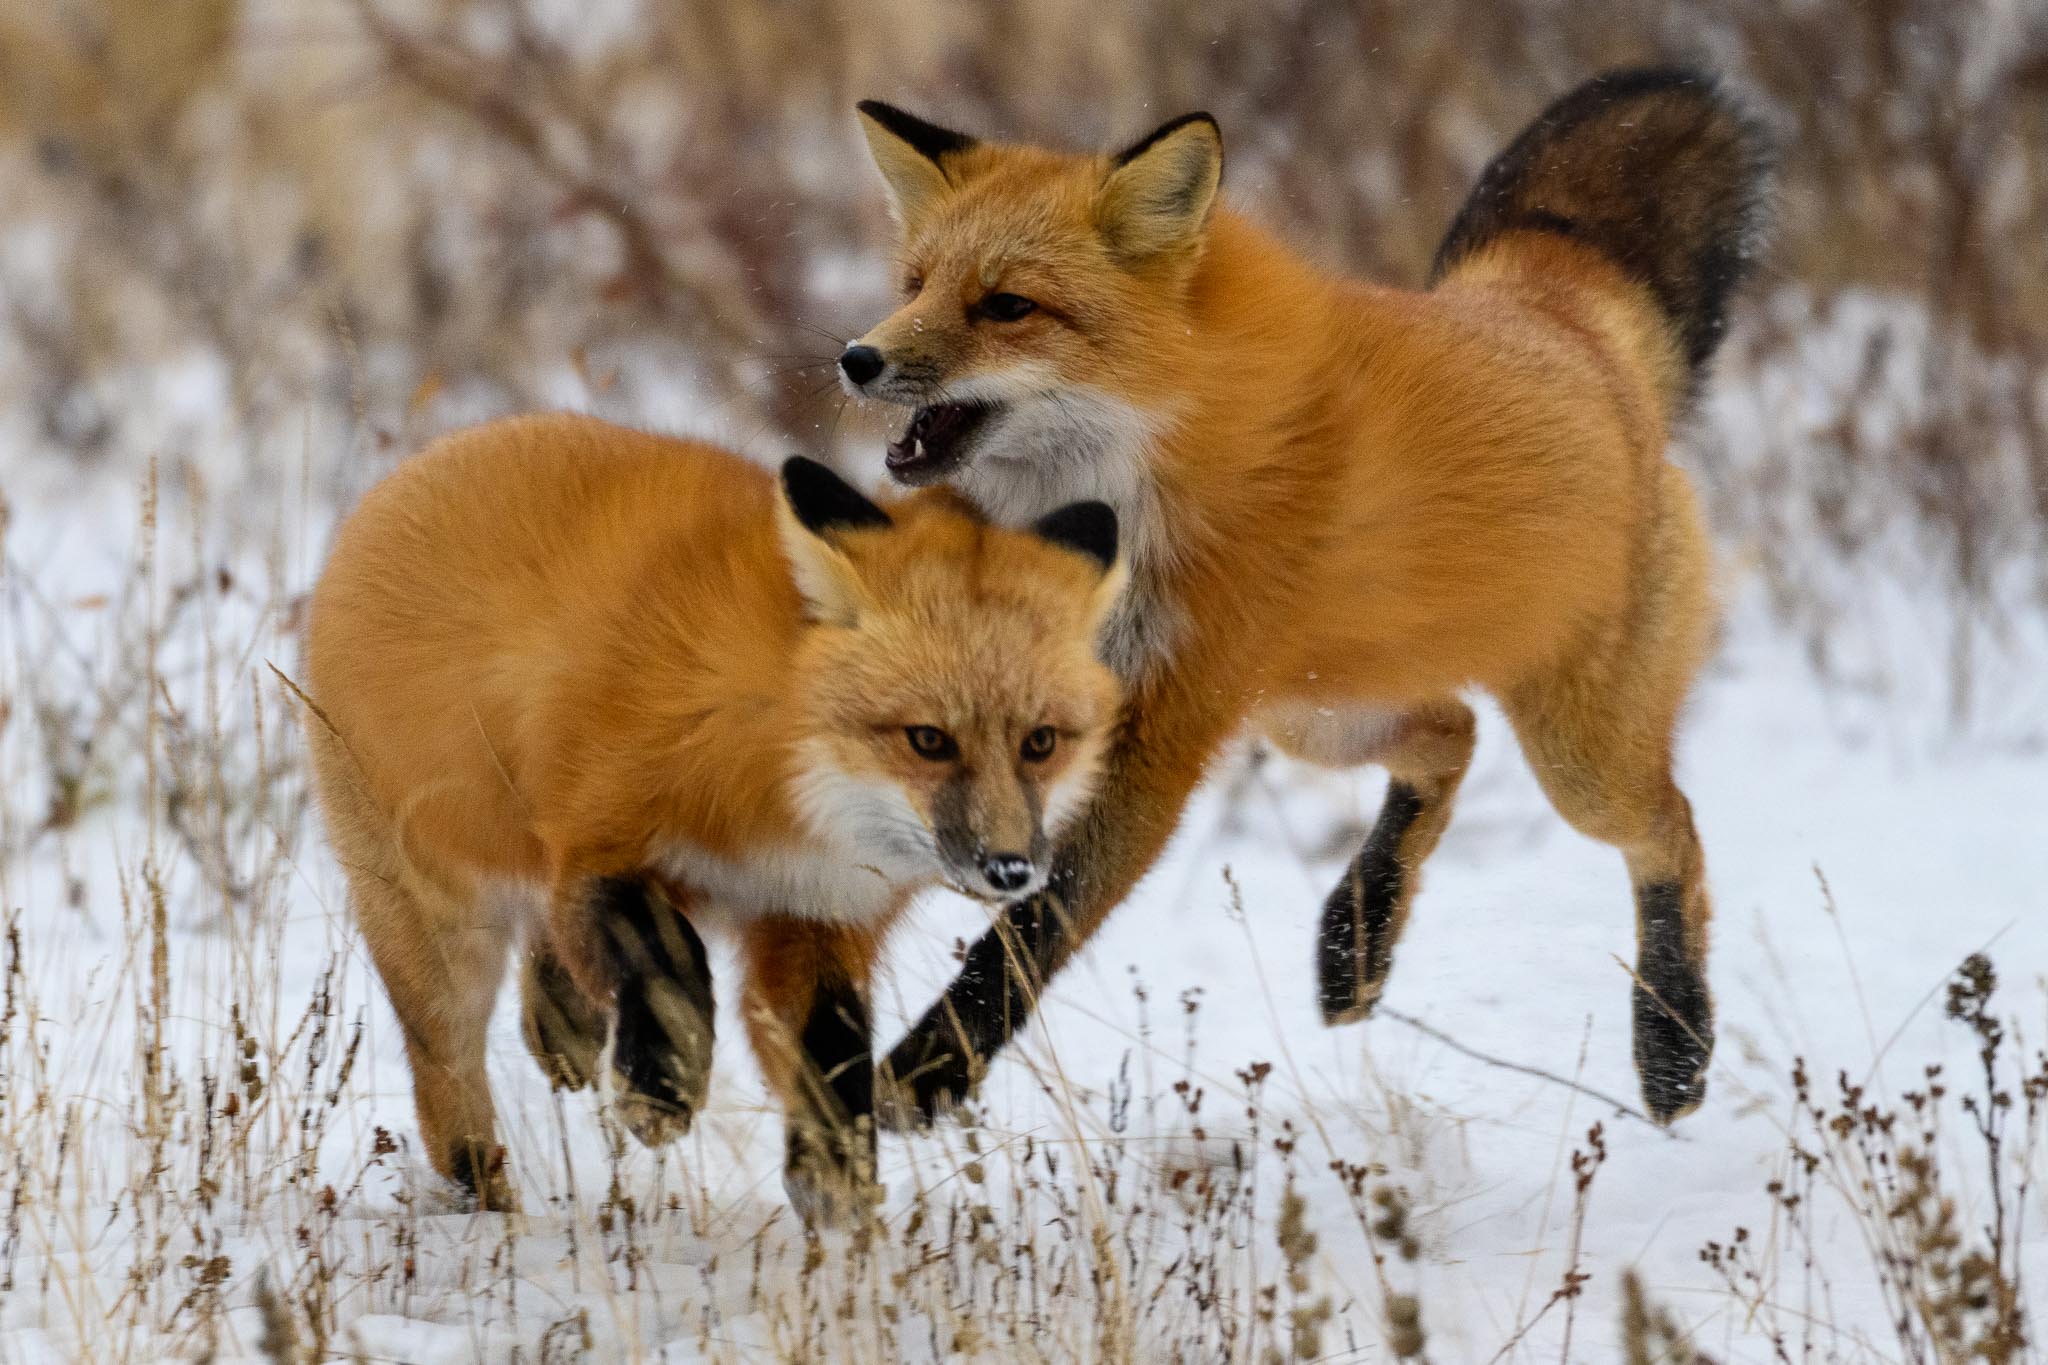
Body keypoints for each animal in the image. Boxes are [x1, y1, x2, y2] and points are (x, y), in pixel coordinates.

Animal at [300, 413, 1123, 1218]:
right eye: (929, 739)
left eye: (1040, 742)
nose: (1010, 868)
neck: (787, 793)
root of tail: (425, 461)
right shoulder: (597, 847)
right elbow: (666, 961)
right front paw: (663, 1083)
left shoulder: (813, 916)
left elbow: (830, 1051)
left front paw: (835, 1178)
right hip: (440, 927)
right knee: (447, 1066)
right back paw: (485, 1198)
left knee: (548, 975)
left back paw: (563, 1031)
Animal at [839, 70, 1773, 1126]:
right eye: (914, 286)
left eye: (1007, 305)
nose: (857, 358)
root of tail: (1557, 313)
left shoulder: (1158, 740)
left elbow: (1031, 929)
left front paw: (919, 1077)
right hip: (1318, 714)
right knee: (1451, 733)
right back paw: (1357, 942)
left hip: (1577, 758)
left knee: (1670, 832)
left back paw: (1673, 1039)